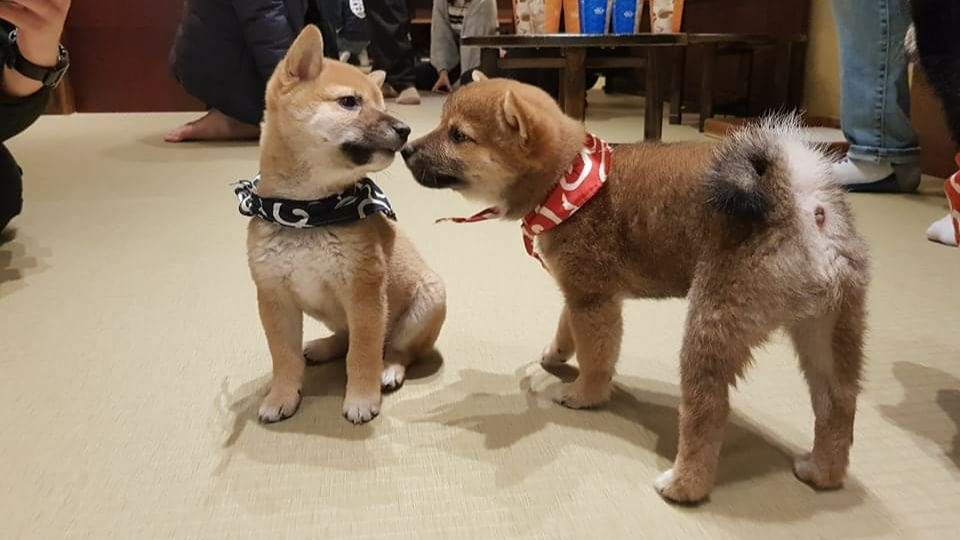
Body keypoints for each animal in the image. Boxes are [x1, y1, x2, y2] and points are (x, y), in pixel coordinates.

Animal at [244, 27, 446, 426]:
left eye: (382, 104)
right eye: (349, 102)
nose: (404, 129)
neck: (308, 213)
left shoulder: (363, 293)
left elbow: (363, 354)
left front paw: (361, 398)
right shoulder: (274, 297)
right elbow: (284, 357)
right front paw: (281, 396)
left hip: (427, 303)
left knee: (398, 349)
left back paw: (390, 369)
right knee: (344, 337)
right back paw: (322, 347)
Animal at [400, 75, 872, 502]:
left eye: (458, 135)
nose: (406, 148)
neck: (566, 182)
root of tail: (804, 202)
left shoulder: (594, 300)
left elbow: (596, 357)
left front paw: (585, 395)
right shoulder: (579, 292)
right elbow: (565, 328)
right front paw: (555, 355)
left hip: (713, 325)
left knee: (709, 410)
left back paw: (684, 485)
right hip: (827, 332)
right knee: (839, 403)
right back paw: (823, 472)